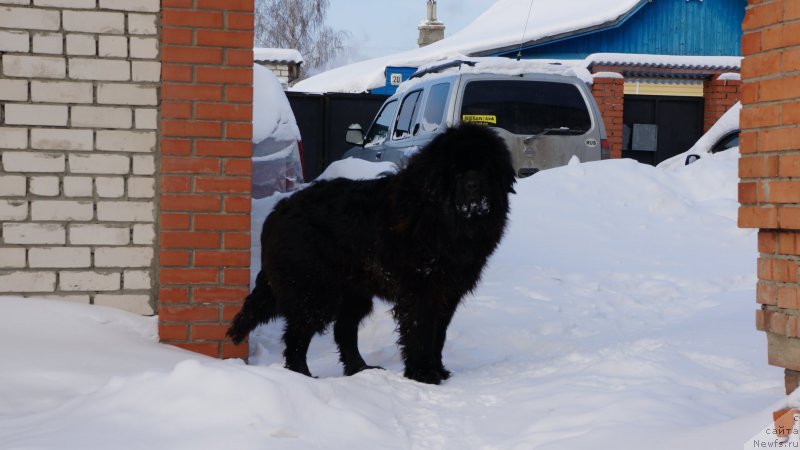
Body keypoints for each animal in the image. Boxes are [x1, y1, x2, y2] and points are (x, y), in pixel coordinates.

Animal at [228, 123, 516, 384]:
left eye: (486, 168)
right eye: (455, 171)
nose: (473, 185)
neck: (443, 219)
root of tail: (278, 211)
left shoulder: (448, 292)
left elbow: (439, 334)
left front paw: (438, 369)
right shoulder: (421, 289)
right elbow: (421, 331)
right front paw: (423, 374)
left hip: (353, 291)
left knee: (343, 330)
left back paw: (360, 369)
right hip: (314, 289)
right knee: (297, 334)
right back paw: (303, 376)